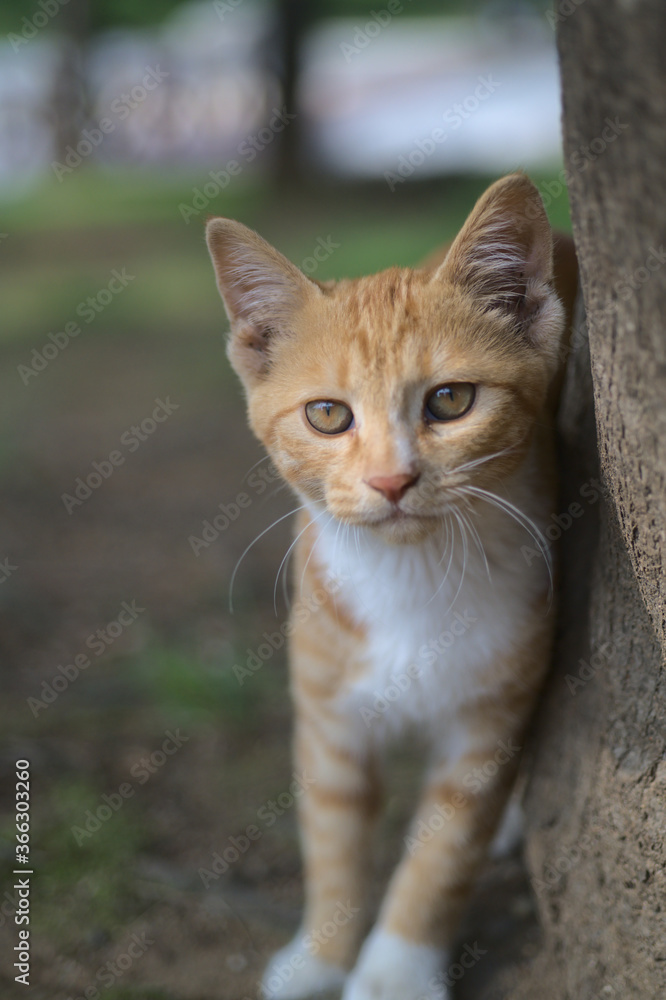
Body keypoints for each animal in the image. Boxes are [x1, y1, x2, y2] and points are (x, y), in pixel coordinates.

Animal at [206, 176, 576, 996]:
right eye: (327, 414)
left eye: (450, 401)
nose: (390, 480)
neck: (414, 574)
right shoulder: (328, 717)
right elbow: (334, 842)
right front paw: (321, 956)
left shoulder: (487, 721)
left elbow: (443, 853)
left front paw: (395, 971)